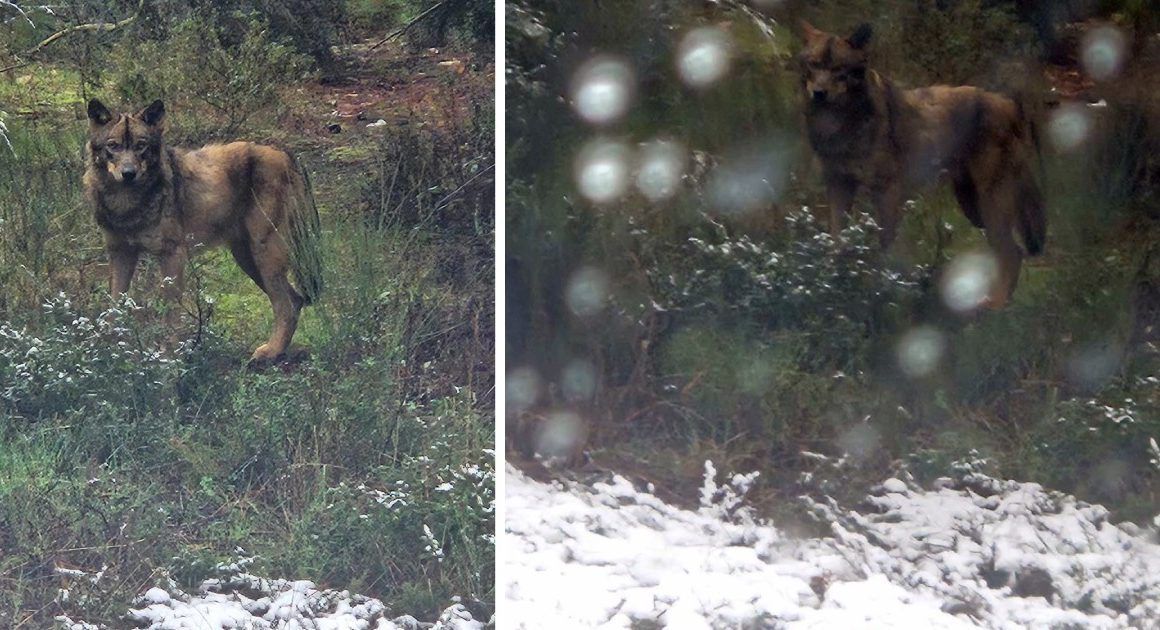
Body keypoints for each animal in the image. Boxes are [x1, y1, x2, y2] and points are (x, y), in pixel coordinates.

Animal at [83, 99, 322, 362]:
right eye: (113, 146)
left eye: (141, 146)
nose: (128, 174)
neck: (126, 204)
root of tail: (285, 154)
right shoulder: (120, 254)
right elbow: (114, 307)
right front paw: (108, 354)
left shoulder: (172, 256)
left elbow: (170, 315)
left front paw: (168, 358)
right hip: (247, 259)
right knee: (295, 300)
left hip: (265, 254)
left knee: (287, 303)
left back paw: (270, 352)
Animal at [798, 21, 1046, 308]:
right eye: (815, 64)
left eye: (838, 68)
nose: (819, 93)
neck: (842, 126)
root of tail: (1008, 103)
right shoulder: (838, 187)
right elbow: (836, 243)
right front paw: (832, 288)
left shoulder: (887, 193)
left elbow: (883, 250)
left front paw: (878, 294)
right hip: (974, 208)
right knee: (1005, 253)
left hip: (990, 204)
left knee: (1012, 253)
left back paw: (995, 306)